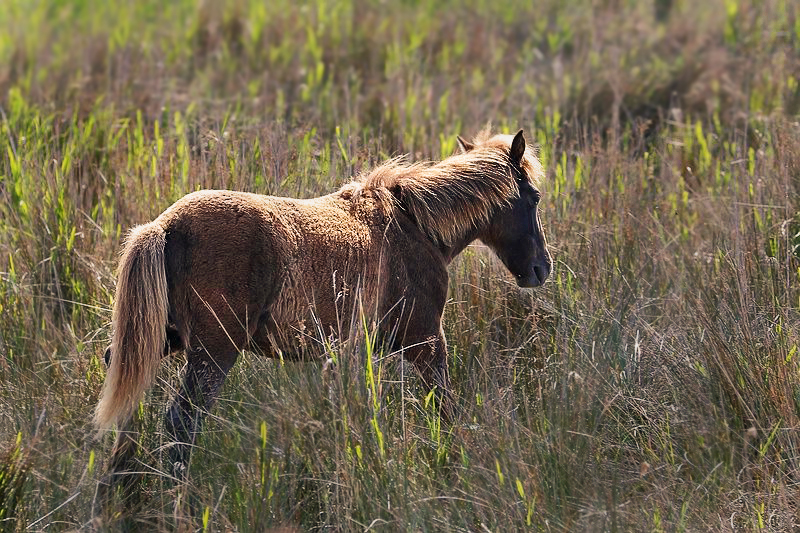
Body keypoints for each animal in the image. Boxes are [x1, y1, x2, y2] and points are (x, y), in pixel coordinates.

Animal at [94, 127, 552, 484]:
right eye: (533, 197)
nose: (540, 269)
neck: (414, 225)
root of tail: (166, 226)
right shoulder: (425, 340)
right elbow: (445, 407)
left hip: (161, 340)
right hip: (214, 352)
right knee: (182, 421)